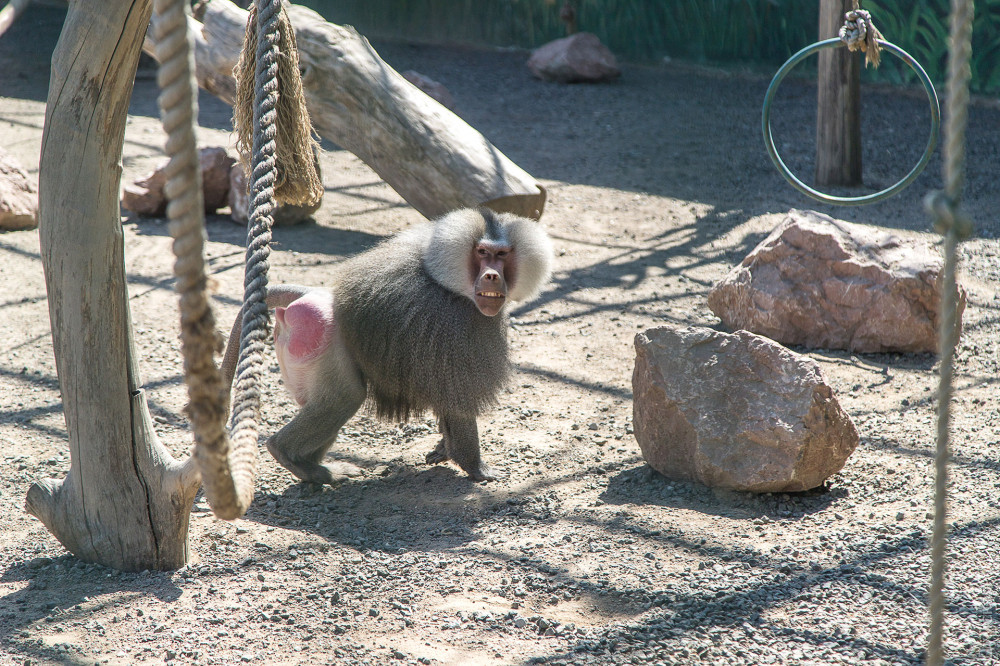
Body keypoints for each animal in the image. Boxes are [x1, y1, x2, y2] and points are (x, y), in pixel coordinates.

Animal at [220, 208, 554, 485]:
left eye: (502, 254)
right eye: (483, 253)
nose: (492, 276)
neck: (452, 280)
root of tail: (317, 294)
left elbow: (447, 400)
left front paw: (442, 449)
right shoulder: (460, 326)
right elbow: (459, 403)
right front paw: (476, 467)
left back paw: (314, 467)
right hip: (321, 336)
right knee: (344, 397)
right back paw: (292, 458)